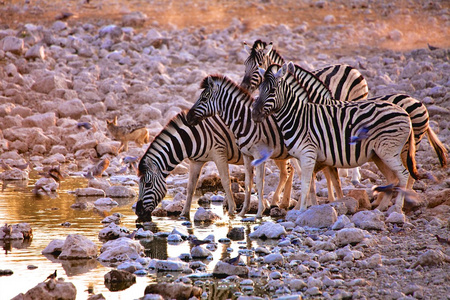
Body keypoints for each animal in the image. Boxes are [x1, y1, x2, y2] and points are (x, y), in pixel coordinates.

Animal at [134, 111, 296, 221]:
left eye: (147, 184)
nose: (138, 212)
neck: (191, 138)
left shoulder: (219, 153)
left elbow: (225, 182)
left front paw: (231, 211)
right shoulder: (196, 161)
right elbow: (190, 187)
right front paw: (184, 214)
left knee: (290, 171)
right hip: (282, 152)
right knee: (290, 171)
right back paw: (282, 204)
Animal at [253, 62, 422, 213]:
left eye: (272, 90)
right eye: (259, 89)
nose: (254, 113)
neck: (298, 116)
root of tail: (404, 112)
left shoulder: (308, 154)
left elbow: (308, 183)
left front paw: (302, 210)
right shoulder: (308, 157)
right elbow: (314, 185)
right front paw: (313, 207)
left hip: (390, 152)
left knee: (404, 175)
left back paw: (398, 207)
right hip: (379, 155)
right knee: (393, 178)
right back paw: (381, 208)